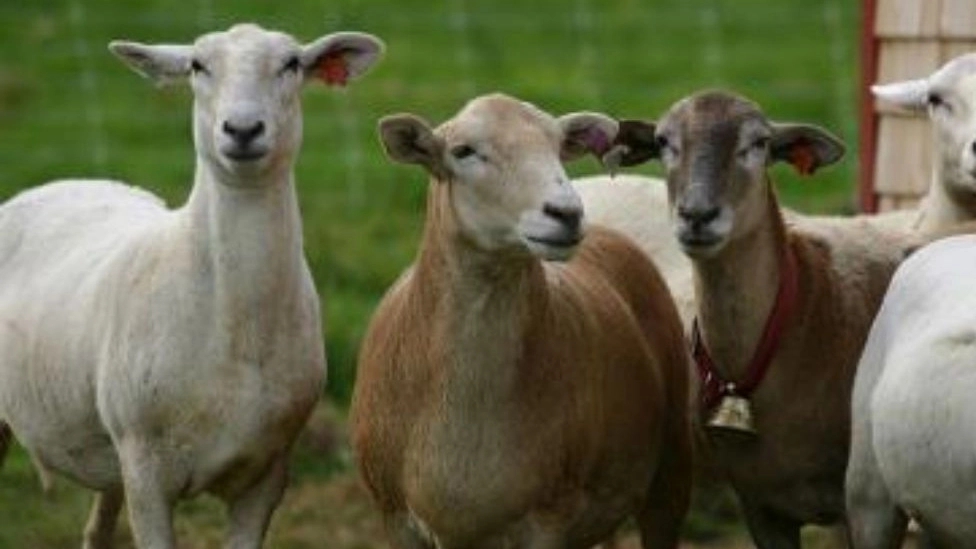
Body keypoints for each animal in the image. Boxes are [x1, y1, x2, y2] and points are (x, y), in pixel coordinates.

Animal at [0, 23, 383, 548]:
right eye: (198, 66)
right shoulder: (146, 472)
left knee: (96, 530)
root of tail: (59, 182)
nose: (242, 130)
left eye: (292, 64)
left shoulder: (266, 476)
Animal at [349, 93, 693, 549]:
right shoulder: (395, 518)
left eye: (559, 146)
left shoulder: (550, 519)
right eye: (462, 151)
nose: (567, 213)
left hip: (670, 470)